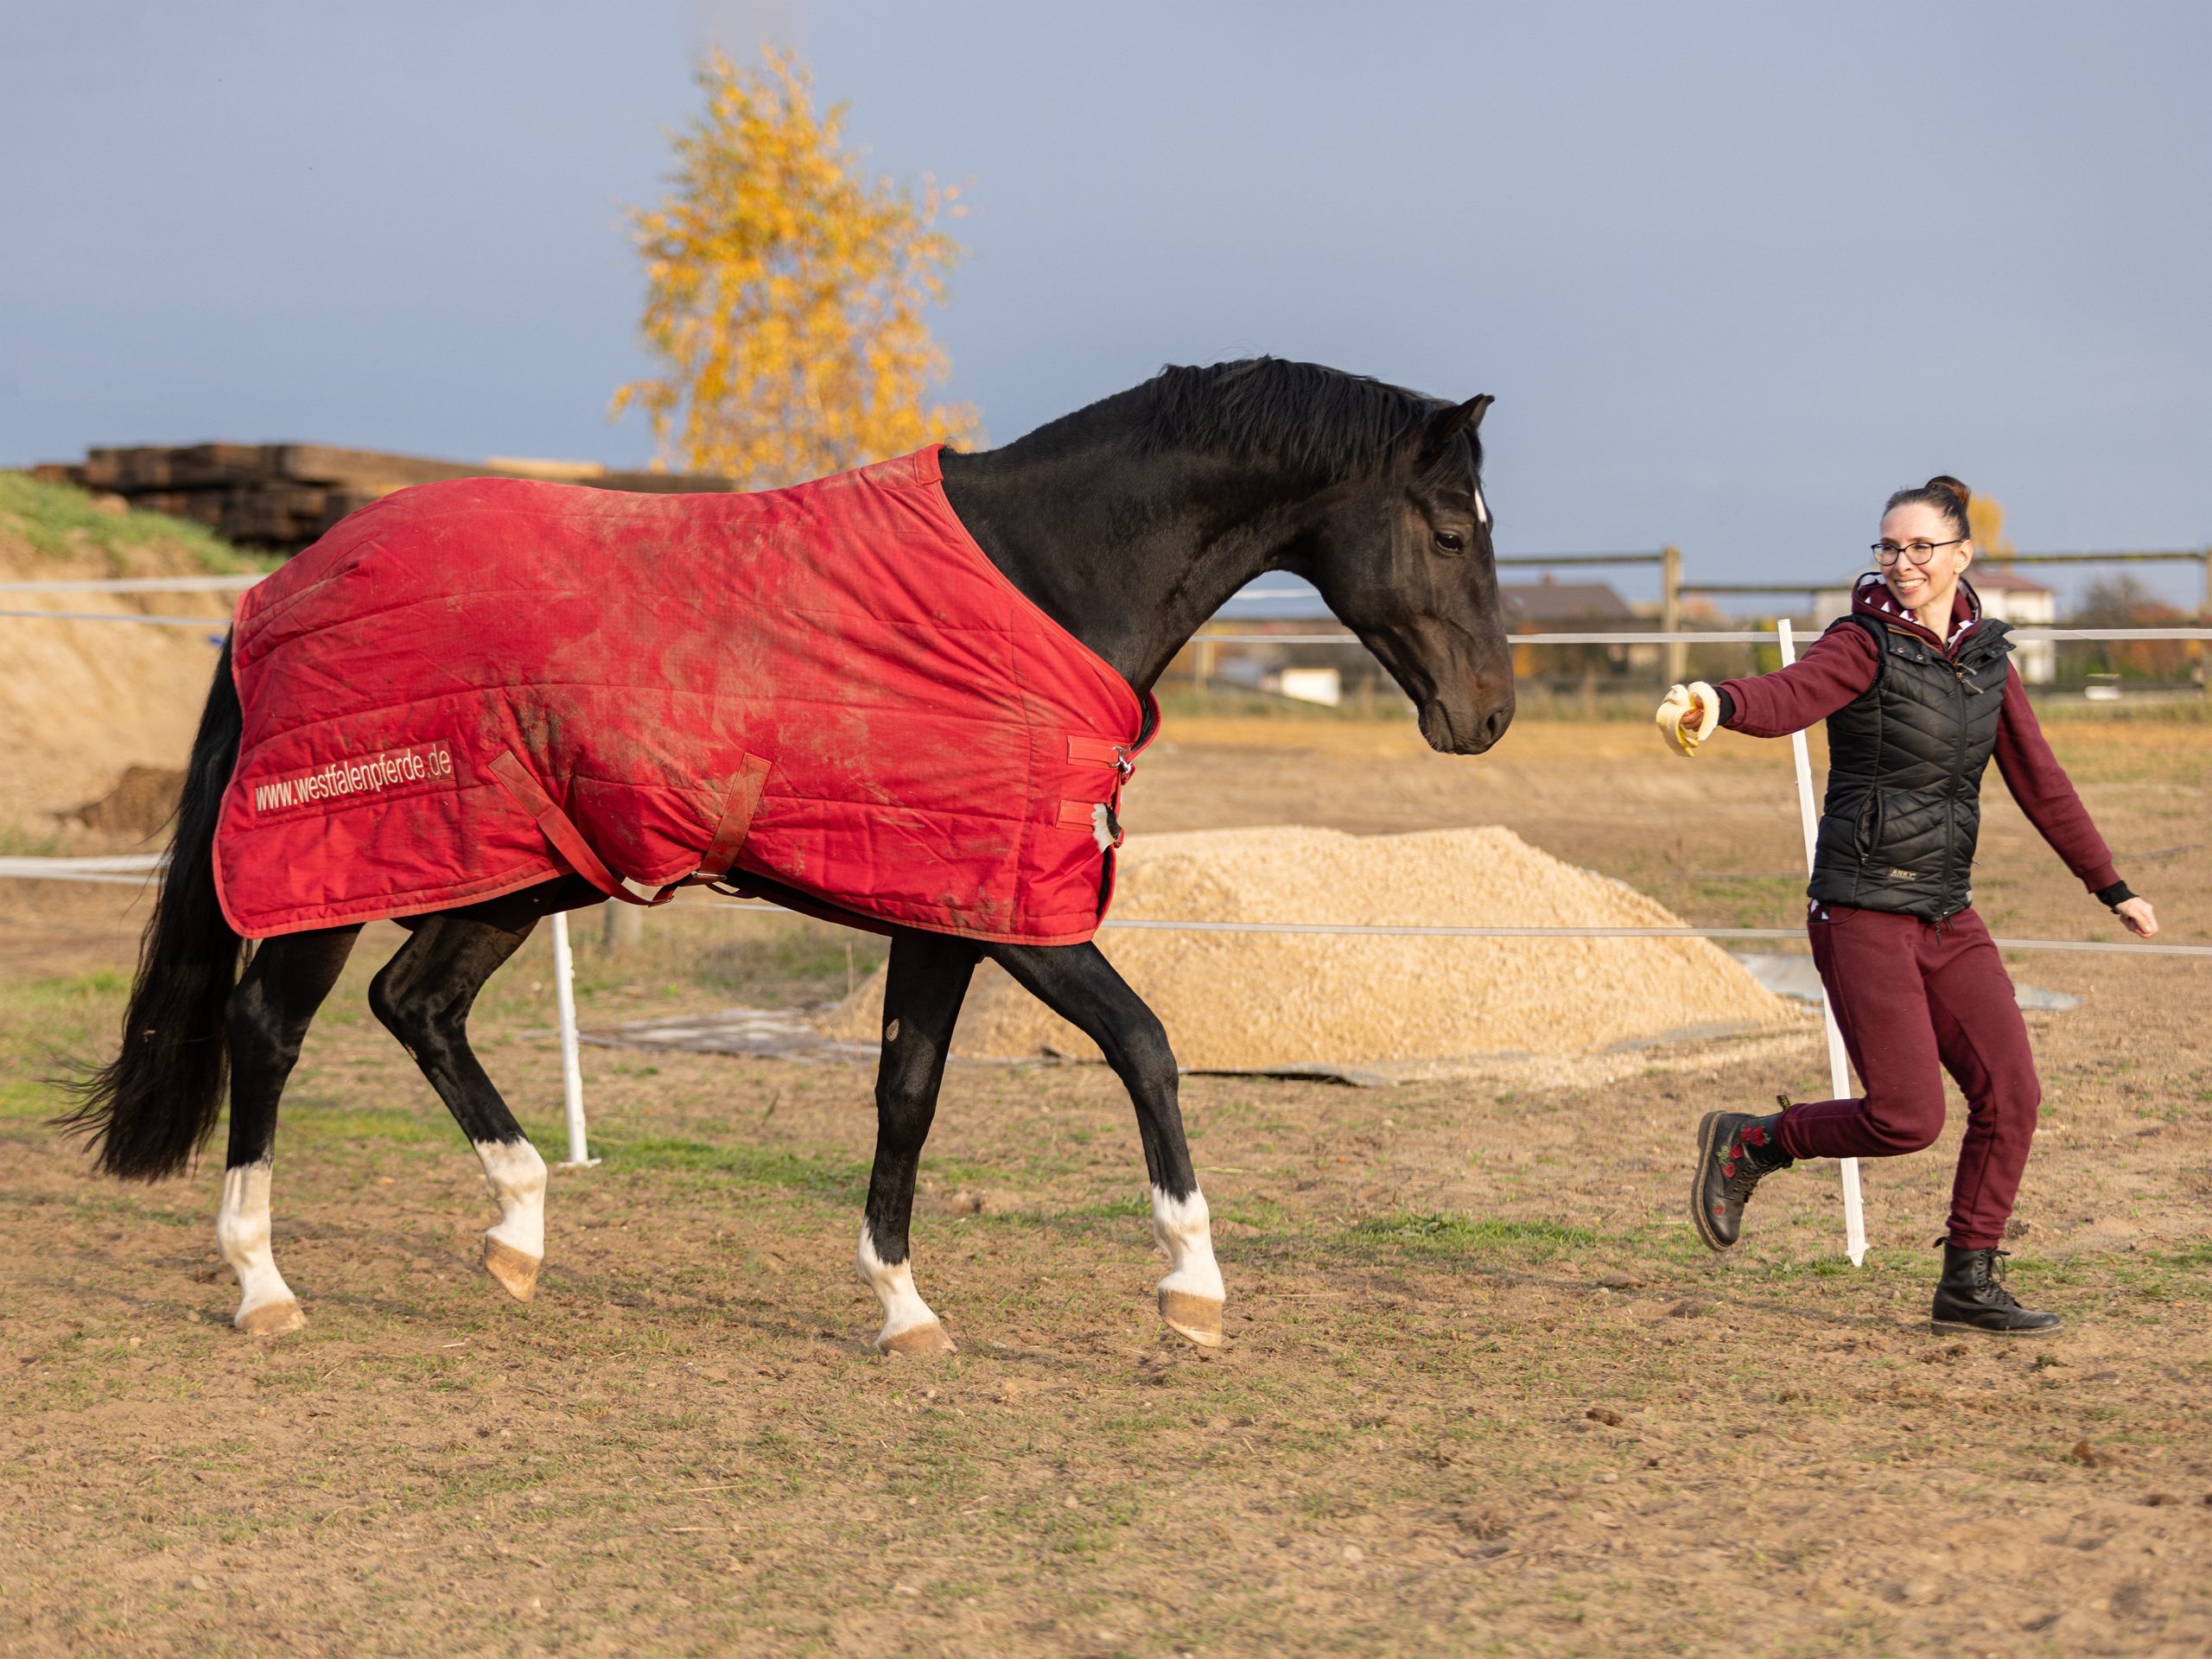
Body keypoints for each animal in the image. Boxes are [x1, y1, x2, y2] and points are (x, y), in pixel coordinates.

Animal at [60, 358, 1513, 1353]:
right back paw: (263, 1282)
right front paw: (1192, 1288)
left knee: (415, 1006)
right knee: (270, 1027)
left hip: (507, 875)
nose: (1487, 715)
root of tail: (277, 586)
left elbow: (907, 1093)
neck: (1036, 581)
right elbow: (1147, 1047)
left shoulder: (946, 912)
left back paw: (519, 1231)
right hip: (346, 863)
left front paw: (902, 1306)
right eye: (1452, 530)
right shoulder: (1020, 919)